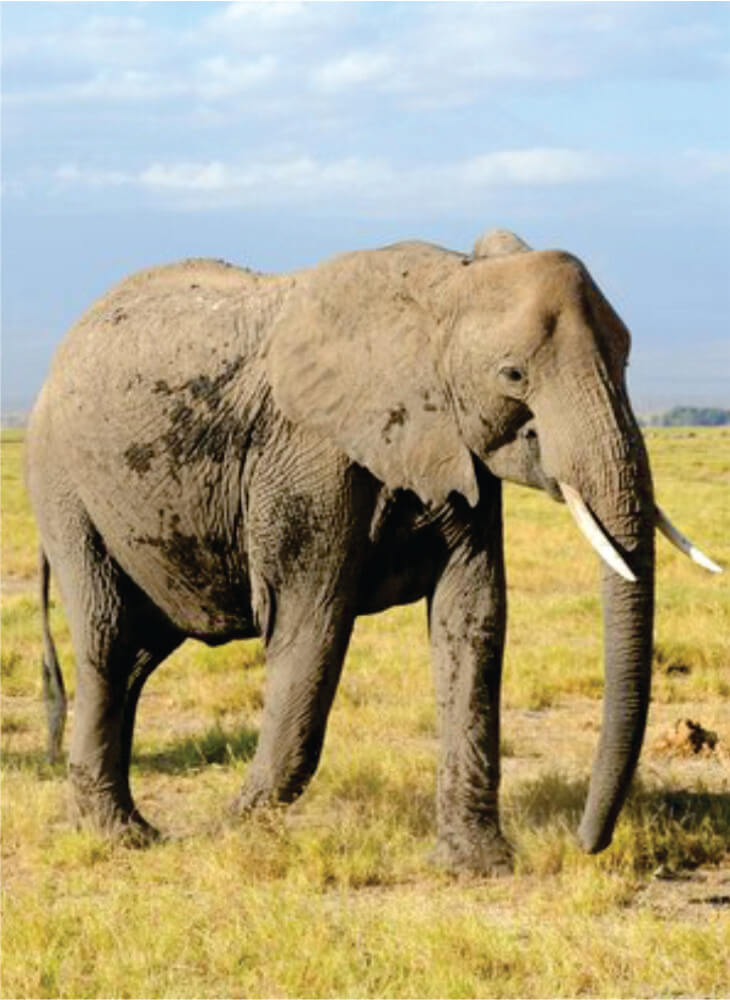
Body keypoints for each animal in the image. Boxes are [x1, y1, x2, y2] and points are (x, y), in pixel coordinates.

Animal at [24, 230, 716, 872]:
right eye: (513, 375)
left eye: (626, 360)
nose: (585, 842)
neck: (445, 286)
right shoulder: (305, 456)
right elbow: (310, 626)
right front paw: (229, 827)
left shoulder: (452, 446)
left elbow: (473, 618)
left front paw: (477, 866)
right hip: (62, 487)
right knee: (109, 640)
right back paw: (123, 836)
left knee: (138, 655)